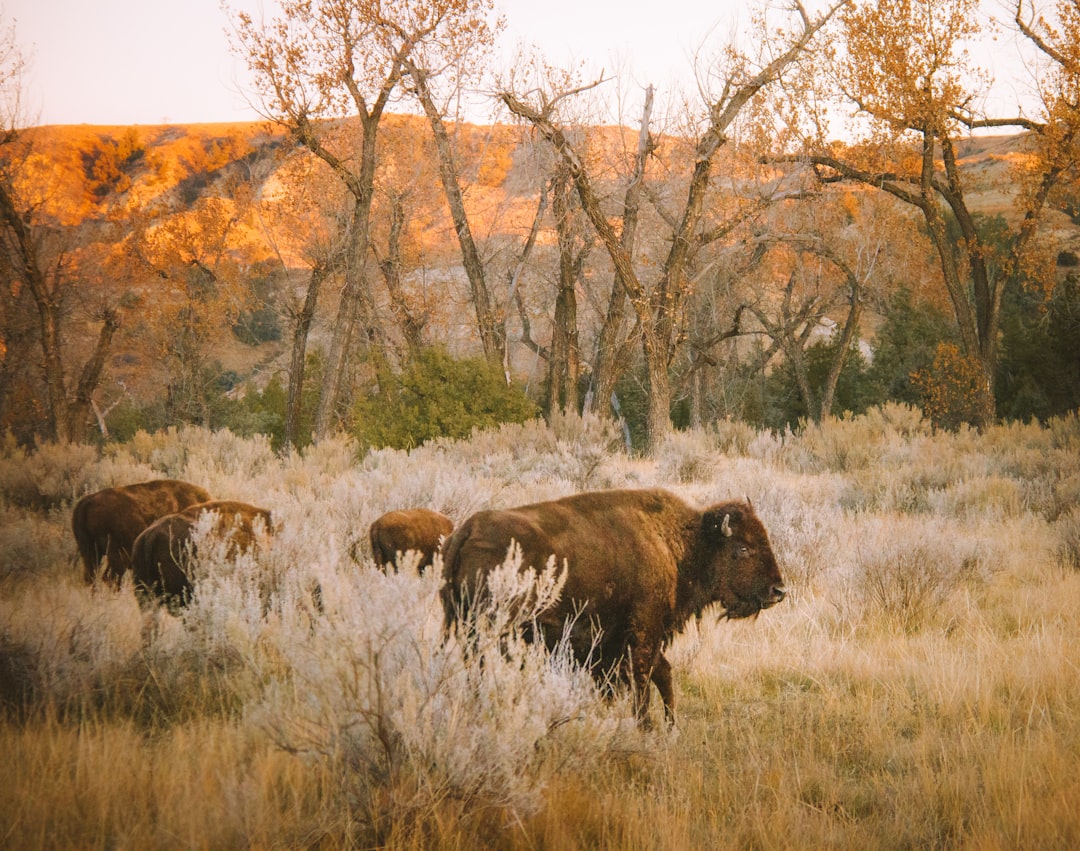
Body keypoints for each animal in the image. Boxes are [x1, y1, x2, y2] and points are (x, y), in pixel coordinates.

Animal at [438, 488, 786, 721]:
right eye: (743, 548)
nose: (778, 590)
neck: (681, 544)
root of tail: (467, 530)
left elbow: (659, 672)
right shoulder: (644, 632)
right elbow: (644, 678)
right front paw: (646, 726)